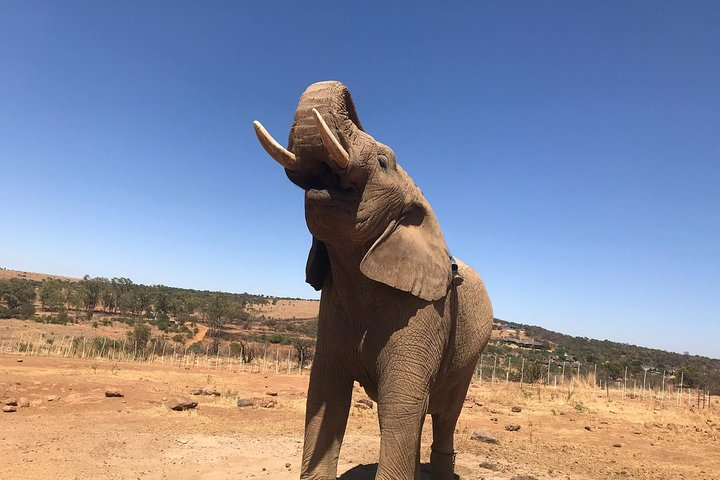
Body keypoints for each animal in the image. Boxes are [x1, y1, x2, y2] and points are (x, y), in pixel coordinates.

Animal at [250, 80, 492, 478]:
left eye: (382, 162)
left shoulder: (426, 314)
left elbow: (401, 404)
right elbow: (325, 396)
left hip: (470, 353)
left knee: (445, 412)